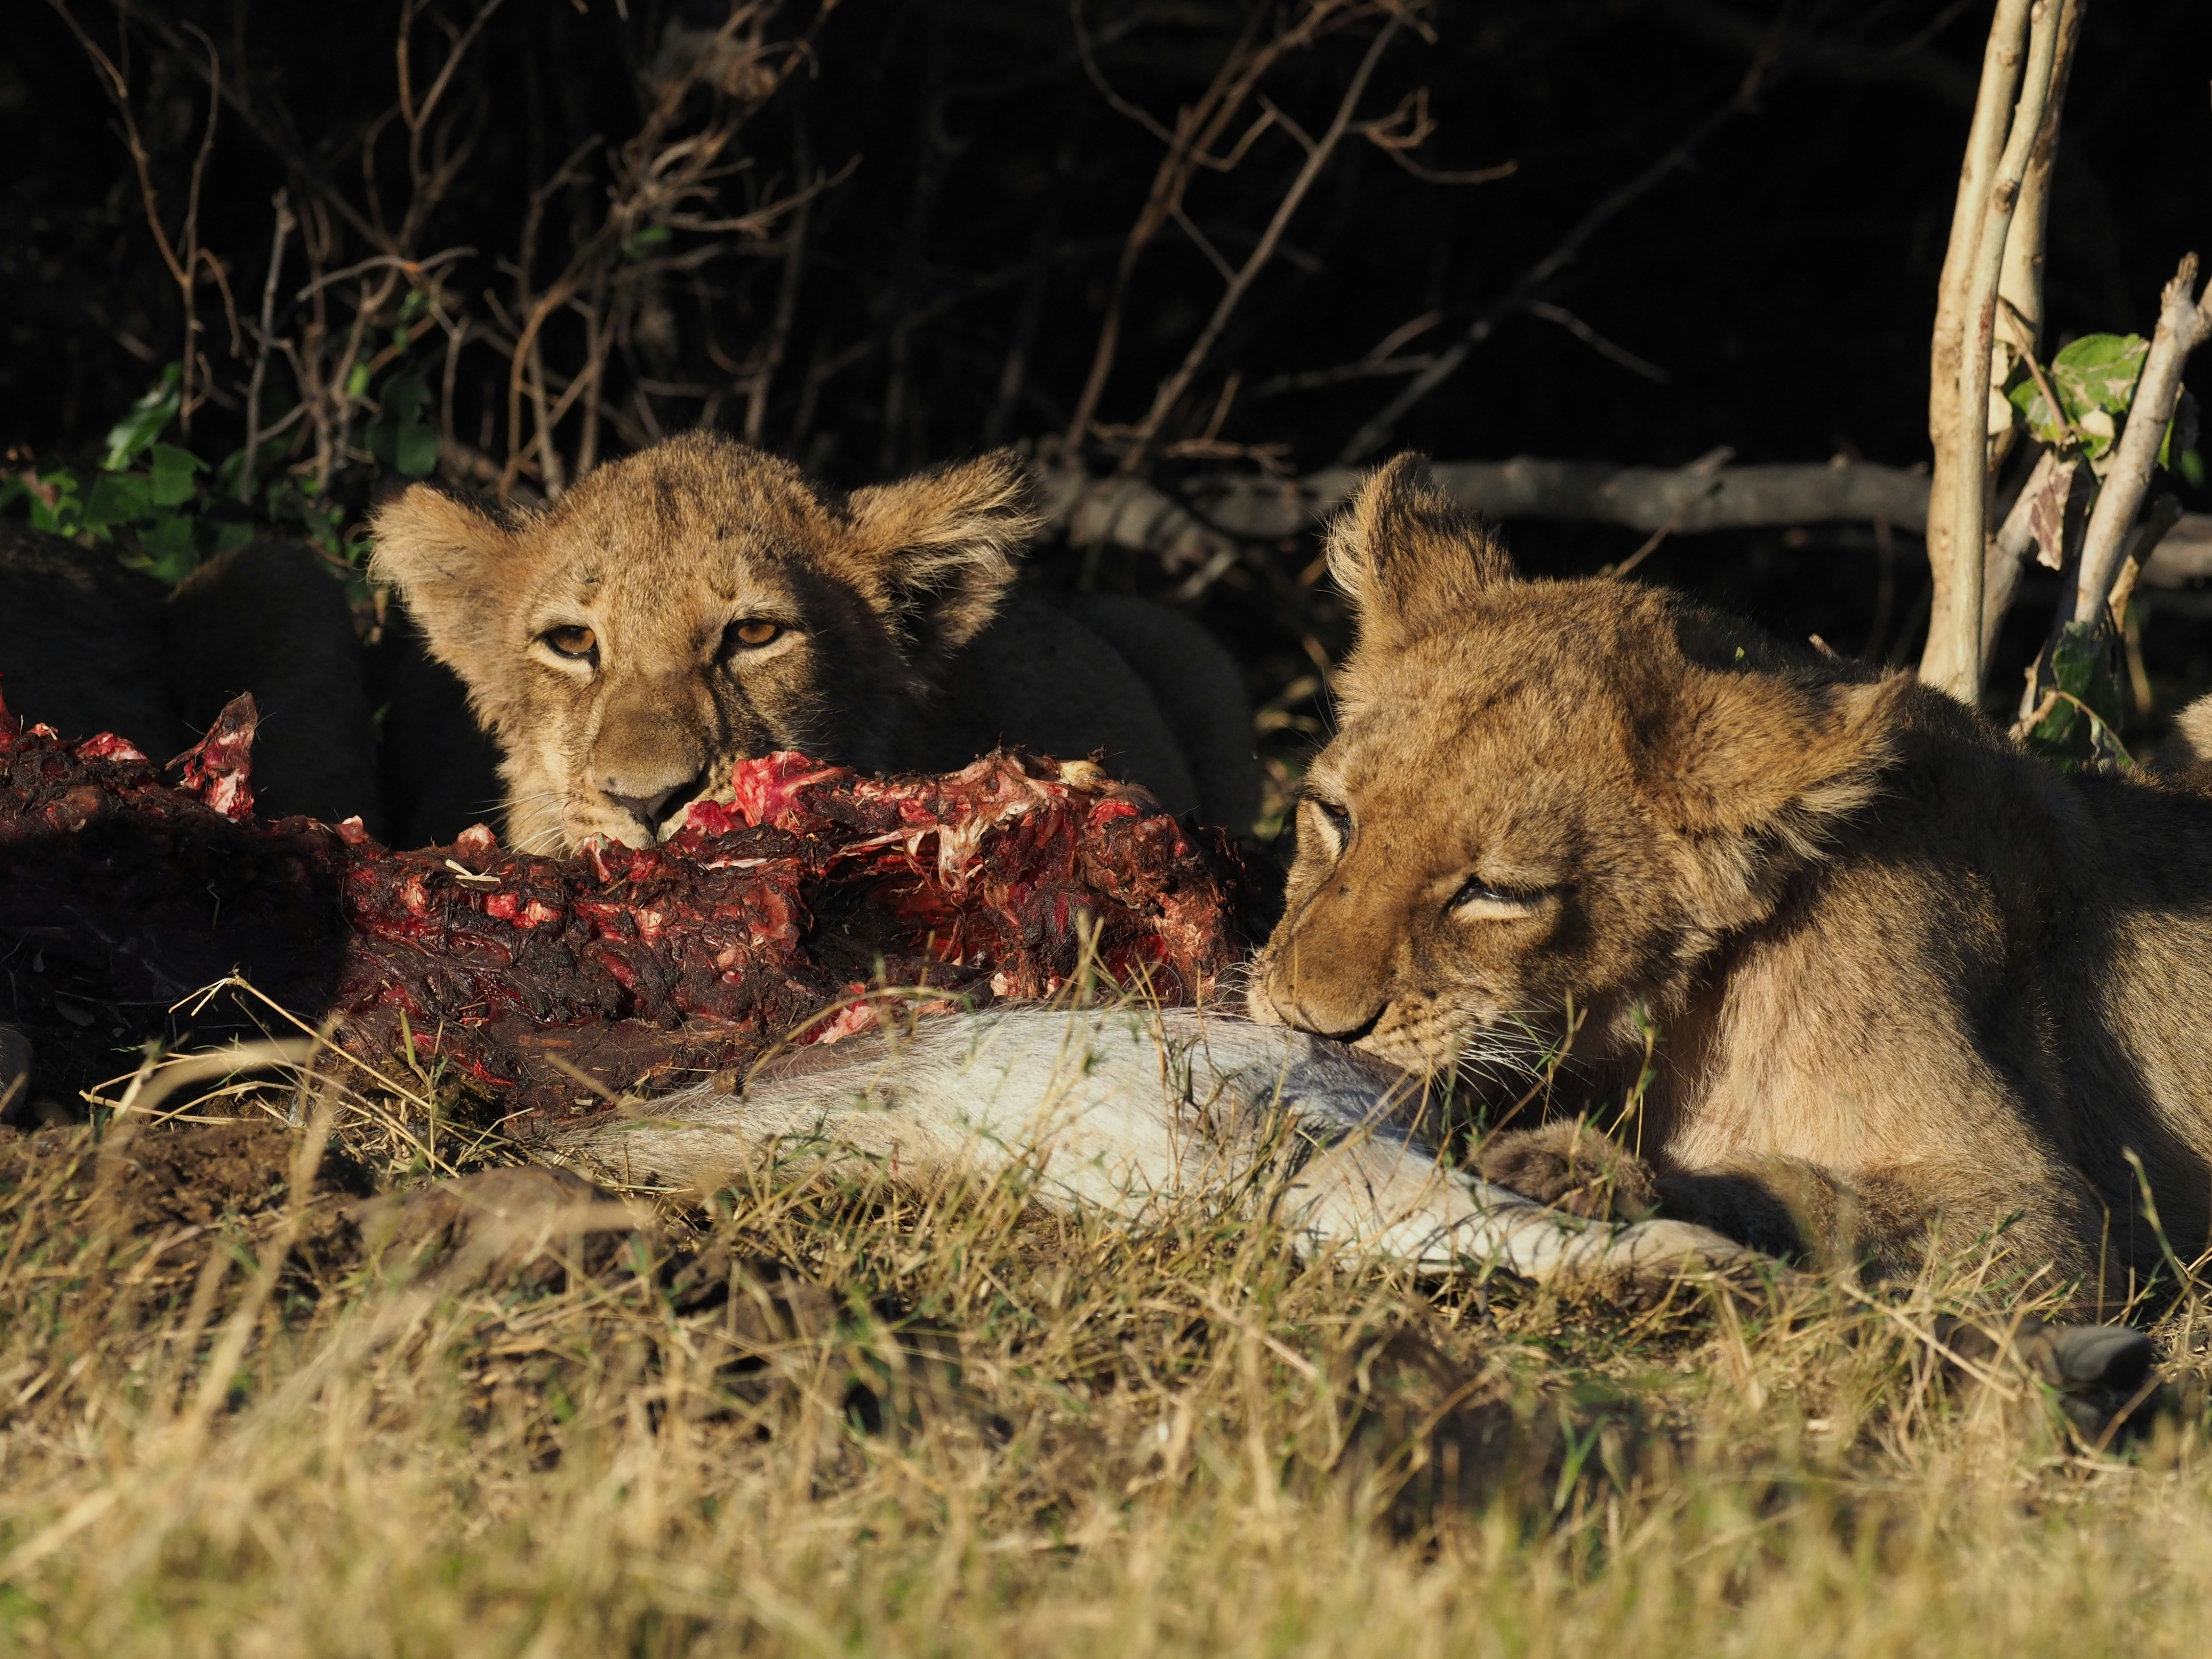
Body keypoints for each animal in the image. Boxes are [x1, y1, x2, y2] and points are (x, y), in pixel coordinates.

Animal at [1248, 455, 2212, 1308]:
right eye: (1334, 818)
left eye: (1499, 893)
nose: (1306, 1022)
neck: (1674, 1019)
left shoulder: (2040, 1222)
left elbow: (1806, 1194)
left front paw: (1576, 1169)